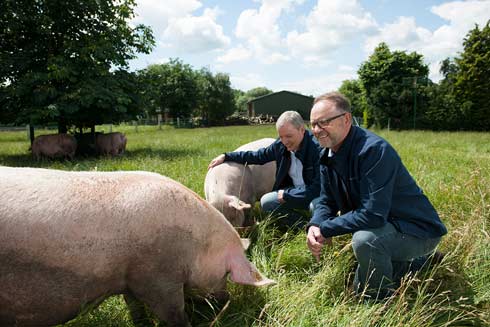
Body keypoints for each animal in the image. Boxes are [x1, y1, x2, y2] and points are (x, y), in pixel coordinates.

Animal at [0, 168, 274, 326]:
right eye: (226, 274)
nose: (224, 299)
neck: (197, 247)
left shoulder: (129, 277)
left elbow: (134, 308)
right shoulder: (159, 279)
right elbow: (175, 316)